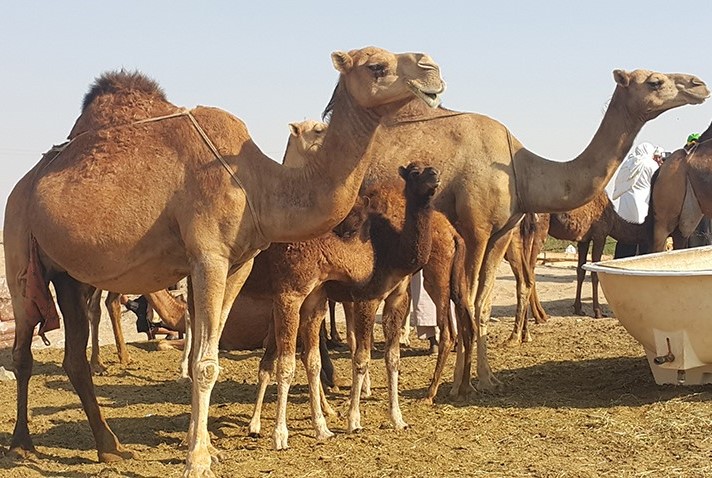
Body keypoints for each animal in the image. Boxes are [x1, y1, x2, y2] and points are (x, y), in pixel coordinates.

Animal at [4, 46, 444, 476]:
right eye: (376, 66)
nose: (433, 70)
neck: (261, 185)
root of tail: (25, 183)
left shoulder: (238, 264)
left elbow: (208, 351)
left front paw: (207, 448)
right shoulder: (209, 257)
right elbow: (204, 362)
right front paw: (198, 459)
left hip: (70, 276)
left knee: (74, 356)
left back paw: (110, 448)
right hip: (19, 253)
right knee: (22, 352)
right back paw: (21, 444)